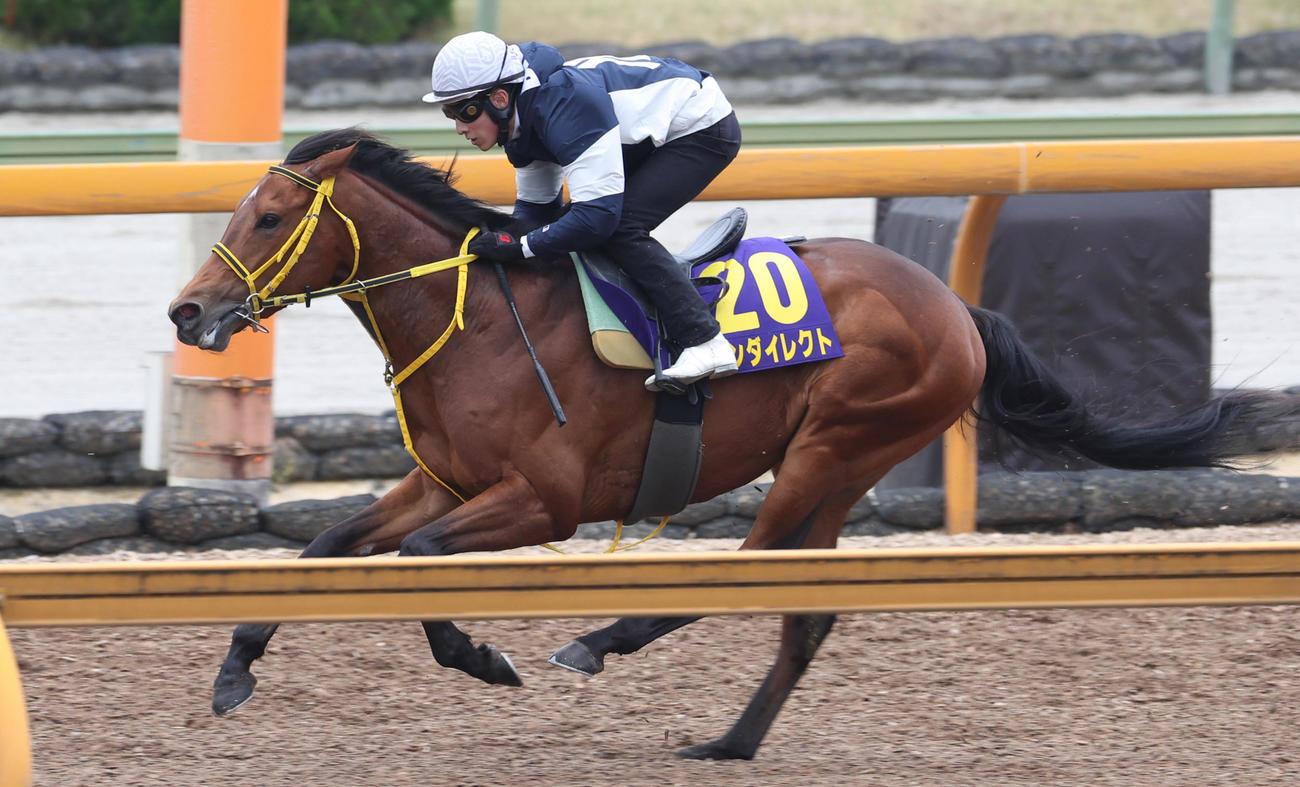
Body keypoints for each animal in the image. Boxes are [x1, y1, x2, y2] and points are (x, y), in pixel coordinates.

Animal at [168, 128, 1288, 761]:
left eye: (270, 214)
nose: (190, 311)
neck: (478, 317)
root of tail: (954, 304)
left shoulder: (544, 498)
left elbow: (419, 561)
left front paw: (485, 656)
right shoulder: (442, 478)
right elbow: (327, 550)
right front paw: (233, 672)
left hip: (834, 446)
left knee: (749, 571)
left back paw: (600, 641)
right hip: (836, 472)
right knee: (805, 611)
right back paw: (731, 743)